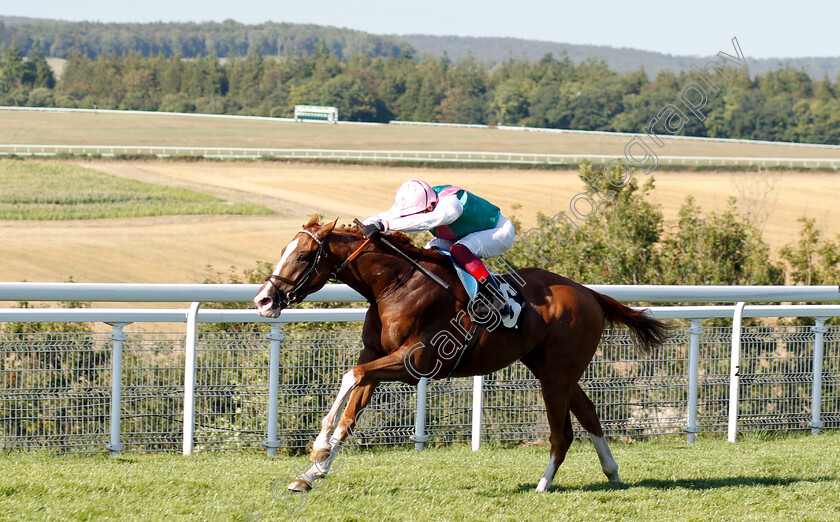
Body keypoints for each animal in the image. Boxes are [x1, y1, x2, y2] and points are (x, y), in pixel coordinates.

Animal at [256, 215, 668, 492]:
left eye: (304, 255)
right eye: (284, 250)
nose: (263, 300)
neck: (395, 284)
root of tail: (588, 293)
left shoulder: (413, 362)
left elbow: (349, 377)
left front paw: (318, 447)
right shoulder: (375, 356)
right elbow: (351, 410)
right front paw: (311, 473)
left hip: (555, 377)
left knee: (562, 433)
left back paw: (542, 484)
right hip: (555, 371)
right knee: (589, 414)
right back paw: (612, 472)